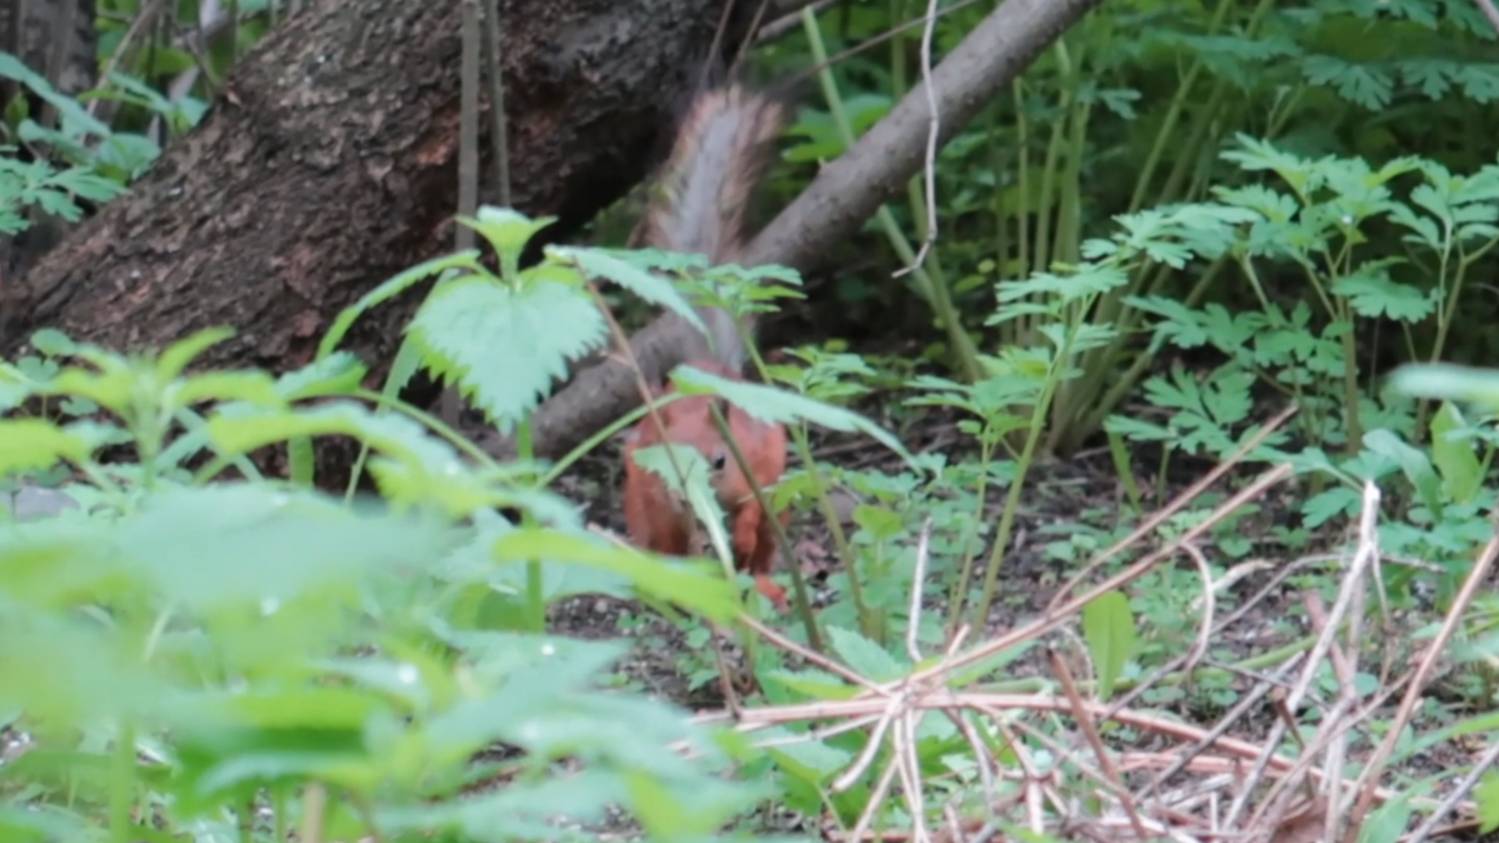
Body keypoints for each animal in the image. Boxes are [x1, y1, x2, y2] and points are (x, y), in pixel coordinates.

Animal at [619, 84, 792, 611]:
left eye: (721, 460)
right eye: (669, 461)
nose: (688, 497)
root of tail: (707, 364)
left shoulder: (762, 459)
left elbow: (753, 507)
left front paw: (740, 534)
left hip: (782, 508)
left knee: (764, 550)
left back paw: (765, 581)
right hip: (641, 505)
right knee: (661, 543)